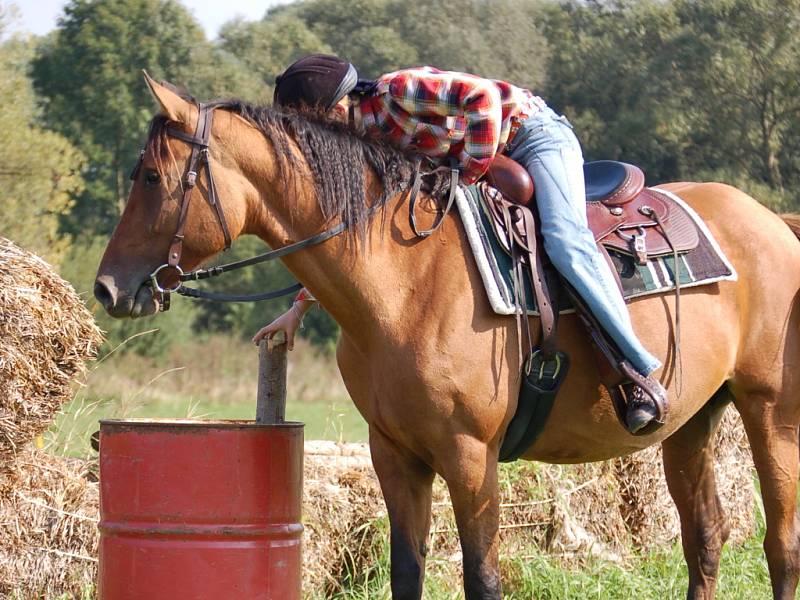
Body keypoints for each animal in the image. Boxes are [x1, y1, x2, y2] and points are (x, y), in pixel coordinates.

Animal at [97, 76, 800, 600]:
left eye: (151, 177)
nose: (108, 288)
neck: (402, 282)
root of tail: (773, 221)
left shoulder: (470, 457)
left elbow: (481, 578)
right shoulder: (395, 454)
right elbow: (407, 573)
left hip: (770, 412)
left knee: (781, 545)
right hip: (693, 421)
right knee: (705, 539)